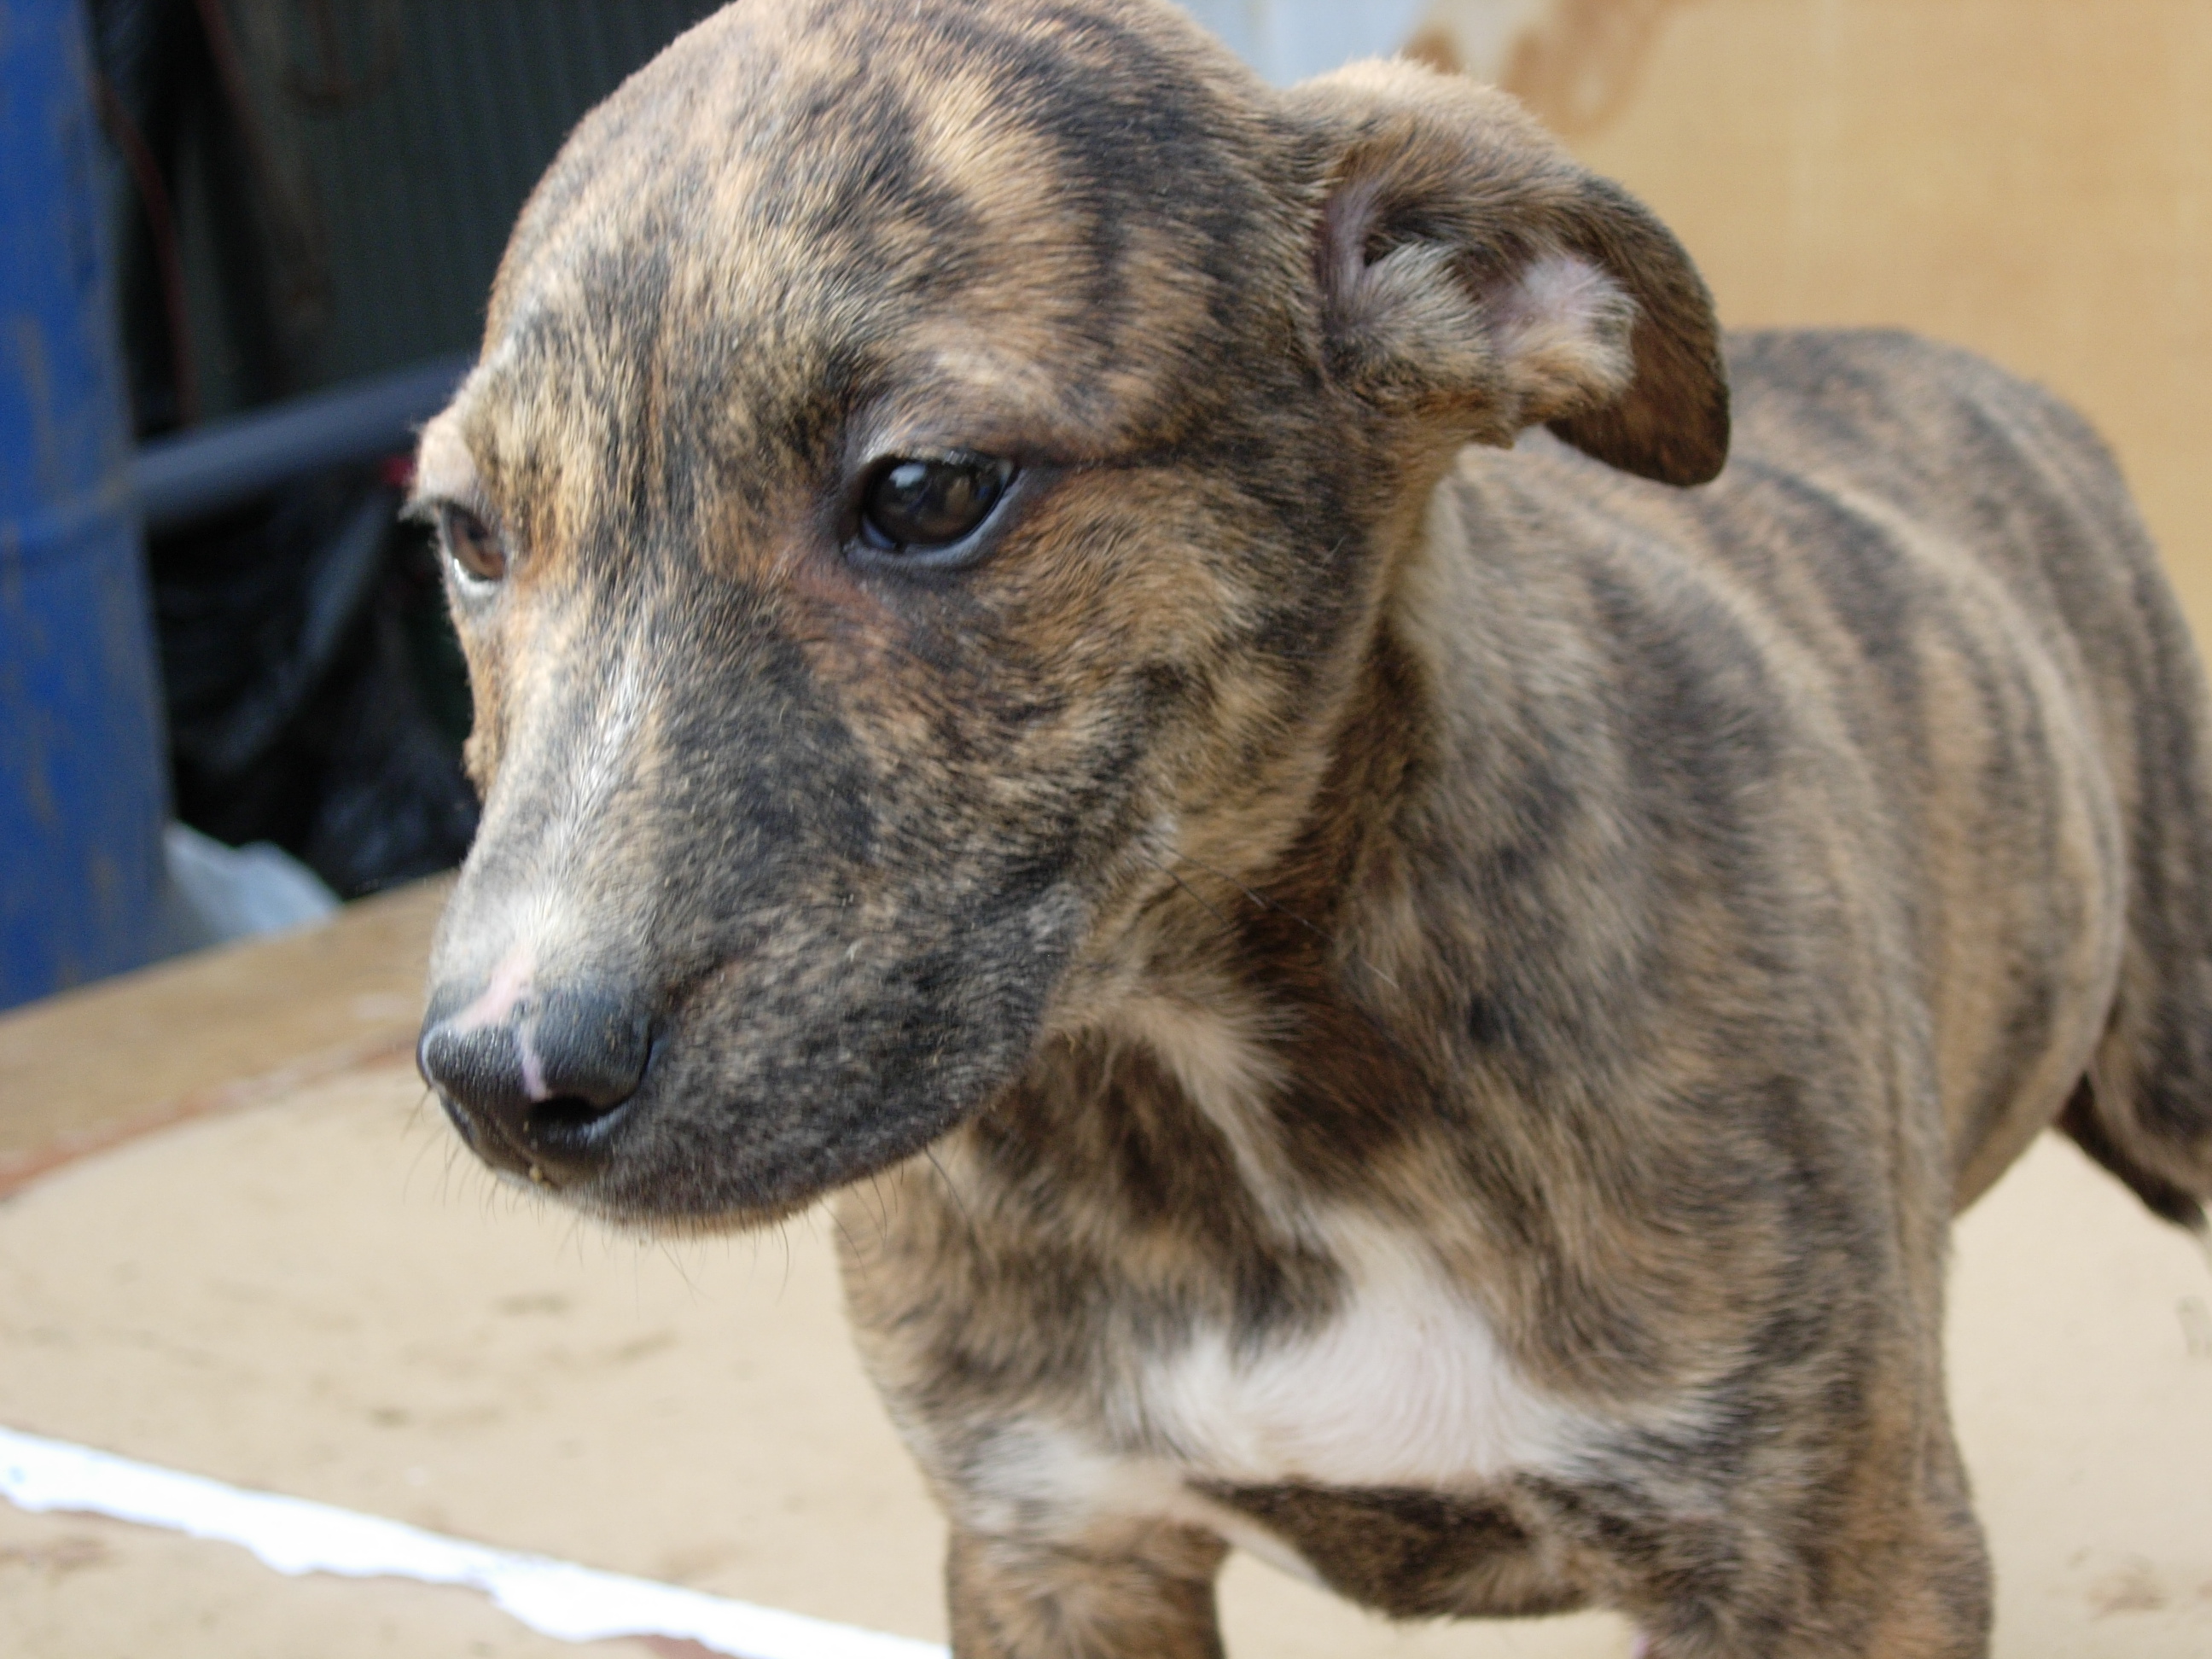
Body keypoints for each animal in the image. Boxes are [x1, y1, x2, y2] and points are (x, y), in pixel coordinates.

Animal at [409, 1, 2212, 1652]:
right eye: (466, 535)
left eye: (927, 491)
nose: (500, 1074)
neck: (1206, 1085)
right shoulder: (1054, 1539)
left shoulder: (1833, 1558)